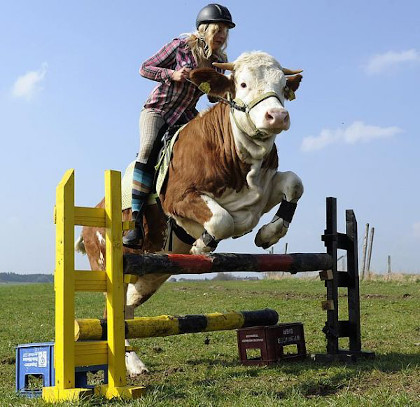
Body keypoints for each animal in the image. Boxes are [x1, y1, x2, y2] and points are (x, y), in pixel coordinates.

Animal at [76, 51, 306, 376]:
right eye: (243, 83)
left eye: (283, 85)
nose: (277, 116)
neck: (236, 153)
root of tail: (93, 217)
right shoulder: (179, 198)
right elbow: (221, 220)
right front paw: (201, 245)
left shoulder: (259, 193)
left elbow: (294, 183)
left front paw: (268, 234)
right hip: (110, 266)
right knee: (115, 312)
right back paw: (131, 364)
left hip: (150, 273)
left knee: (128, 307)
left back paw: (134, 361)